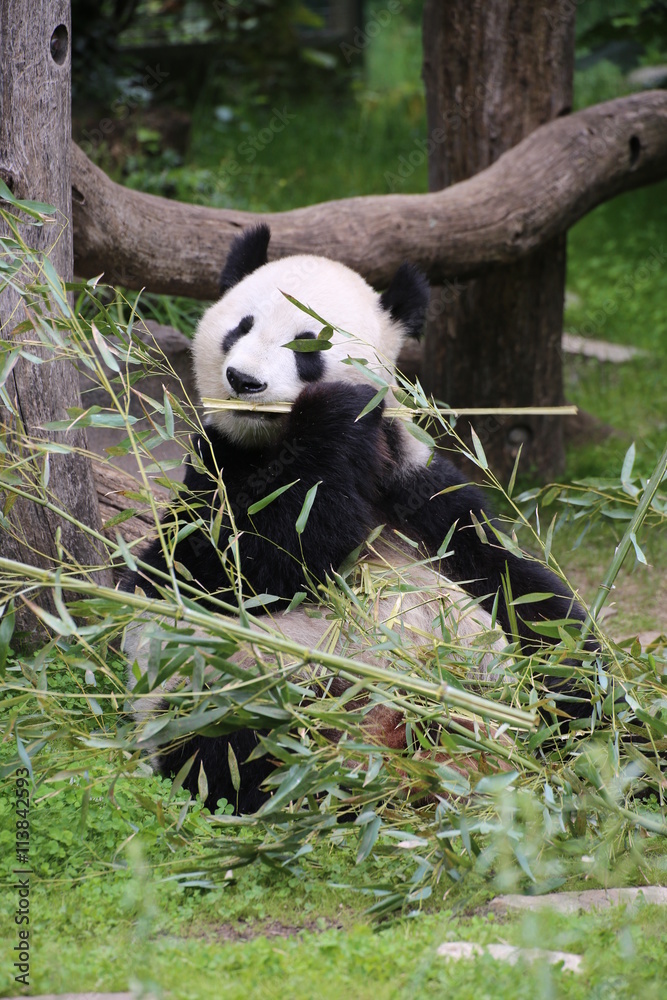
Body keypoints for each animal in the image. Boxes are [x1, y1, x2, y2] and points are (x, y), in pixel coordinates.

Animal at [123, 224, 595, 814]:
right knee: (235, 743)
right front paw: (334, 416)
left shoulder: (417, 491)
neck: (272, 441)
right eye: (240, 327)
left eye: (307, 344)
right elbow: (221, 567)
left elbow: (516, 585)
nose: (243, 381)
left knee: (558, 667)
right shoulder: (217, 468)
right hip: (237, 686)